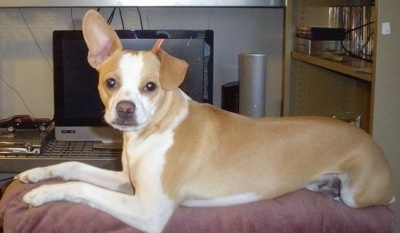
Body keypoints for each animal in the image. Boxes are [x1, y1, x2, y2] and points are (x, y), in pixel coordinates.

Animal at [16, 9, 394, 233]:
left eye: (150, 86)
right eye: (111, 82)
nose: (124, 109)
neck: (150, 134)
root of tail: (370, 141)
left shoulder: (149, 209)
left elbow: (82, 188)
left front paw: (42, 194)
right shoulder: (128, 182)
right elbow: (77, 167)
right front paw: (37, 174)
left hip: (357, 195)